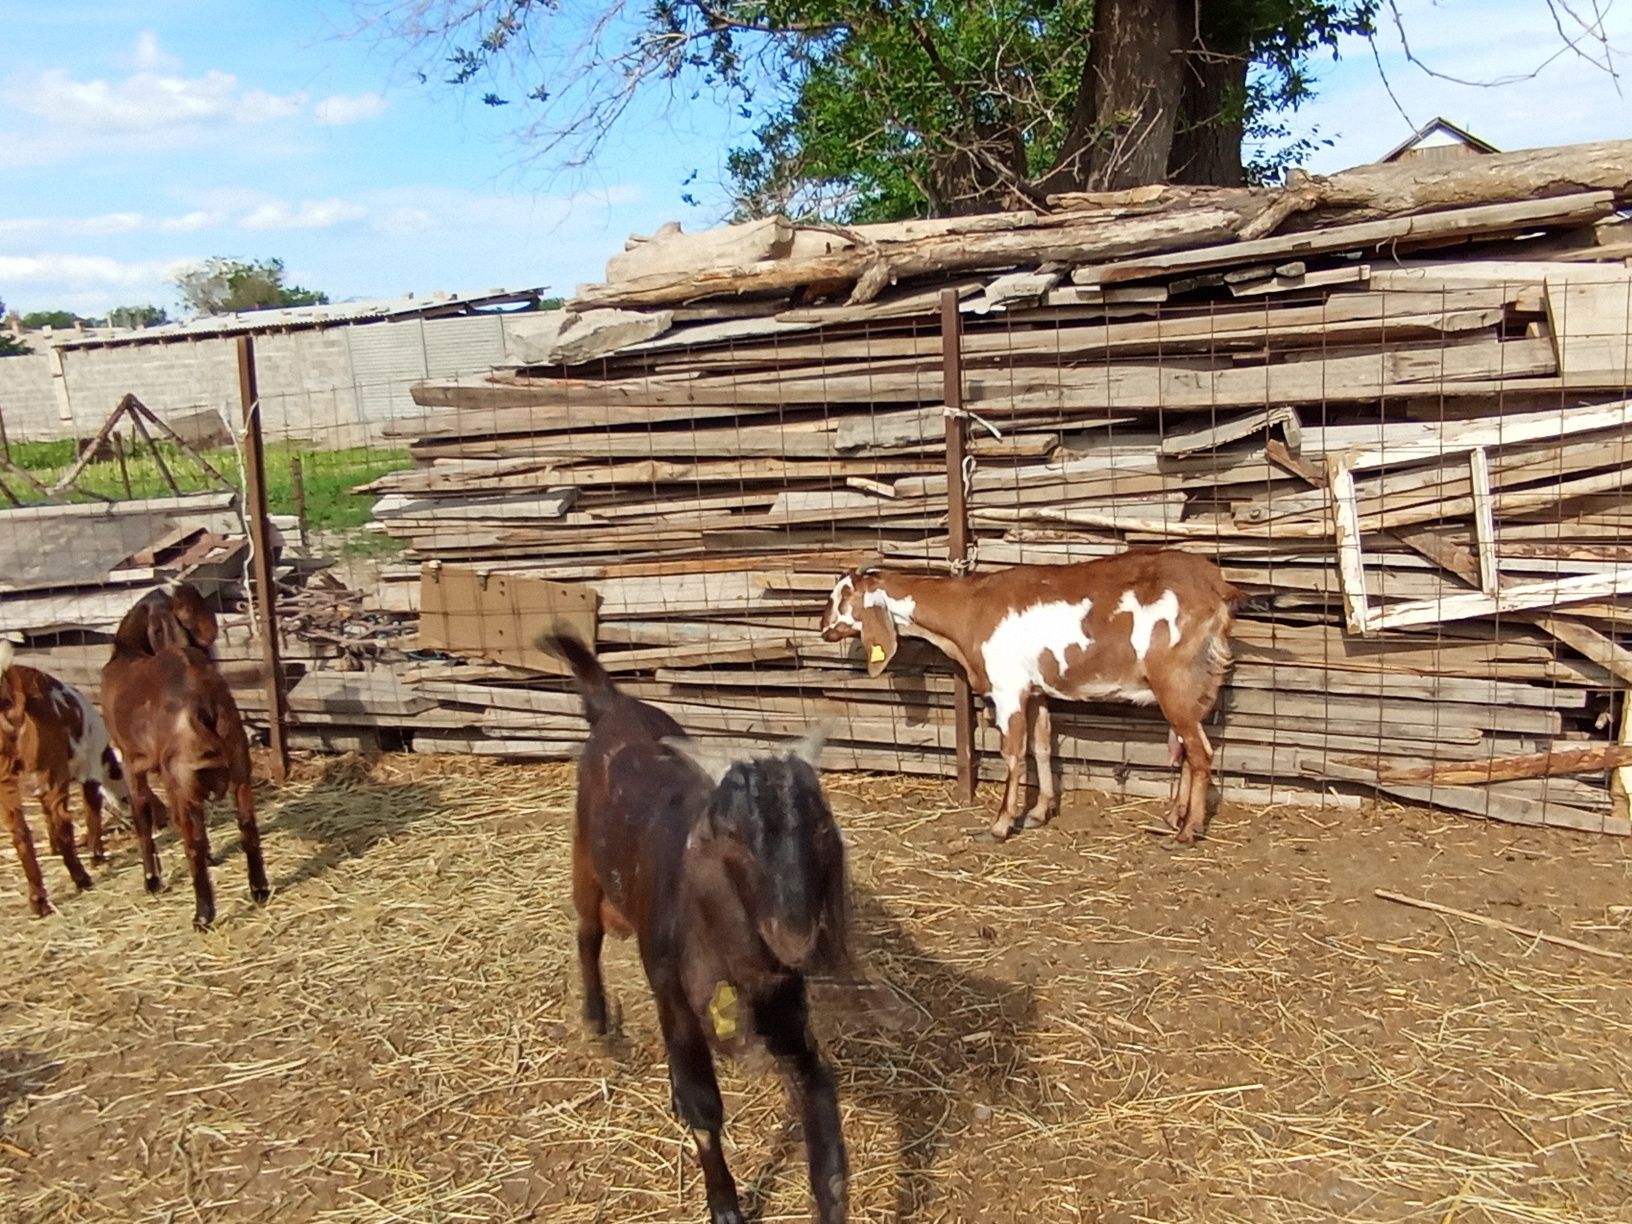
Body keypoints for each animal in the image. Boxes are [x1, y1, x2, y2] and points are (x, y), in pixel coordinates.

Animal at [0, 643, 128, 920]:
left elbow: (47, 818)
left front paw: (53, 850)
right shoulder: (89, 773)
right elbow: (91, 815)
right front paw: (97, 855)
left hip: (6, 781)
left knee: (21, 833)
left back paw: (39, 902)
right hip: (51, 771)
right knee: (63, 823)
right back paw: (82, 878)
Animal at [100, 584, 267, 926]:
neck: (129, 651)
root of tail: (201, 698)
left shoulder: (131, 765)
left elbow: (143, 822)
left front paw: (152, 880)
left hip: (179, 784)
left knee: (192, 843)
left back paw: (203, 914)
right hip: (239, 771)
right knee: (247, 826)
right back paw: (259, 890)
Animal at [548, 633, 855, 1224]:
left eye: (821, 826)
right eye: (731, 837)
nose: (795, 935)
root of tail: (612, 703)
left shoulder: (785, 1007)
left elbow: (822, 1117)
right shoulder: (676, 997)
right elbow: (703, 1105)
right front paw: (726, 1207)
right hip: (584, 862)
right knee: (586, 932)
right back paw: (596, 1018)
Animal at [822, 554, 1240, 848]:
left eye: (843, 596)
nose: (823, 628)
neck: (969, 608)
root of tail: (1216, 586)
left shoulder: (1008, 689)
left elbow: (1013, 754)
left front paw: (1000, 825)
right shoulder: (1035, 691)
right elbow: (1041, 746)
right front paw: (1040, 811)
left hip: (1175, 683)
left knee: (1200, 753)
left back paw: (1187, 832)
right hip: (1190, 688)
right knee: (1188, 748)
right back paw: (1173, 817)